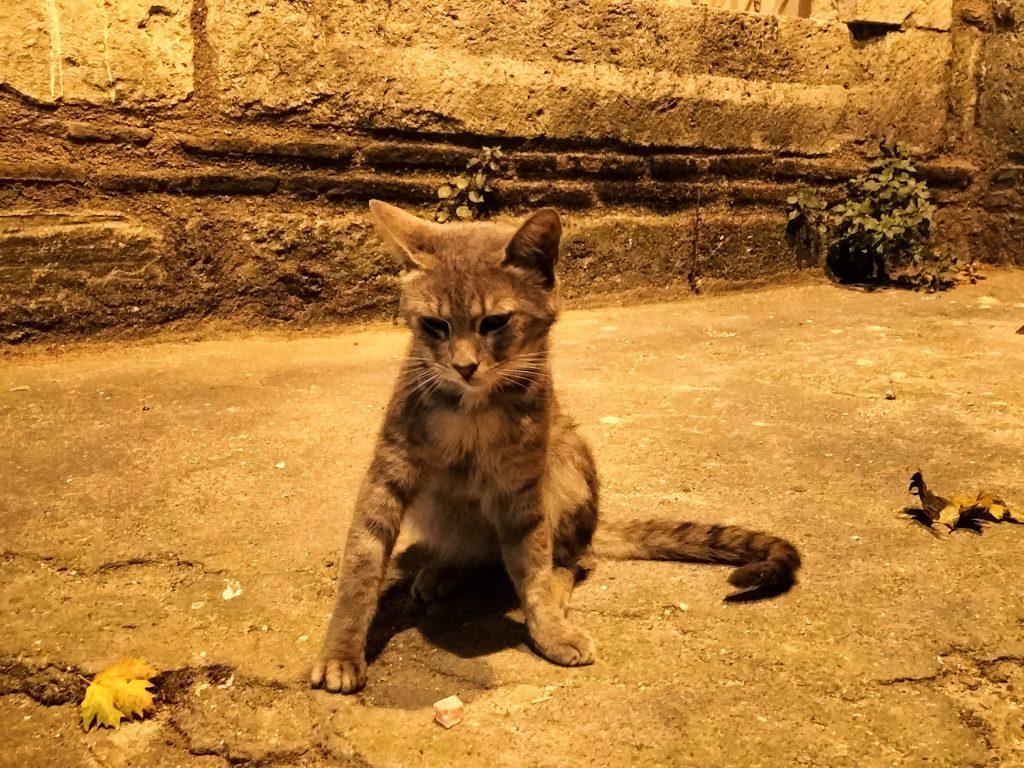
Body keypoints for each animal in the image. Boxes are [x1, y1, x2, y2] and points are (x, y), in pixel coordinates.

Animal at [307, 201, 802, 696]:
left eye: (495, 322)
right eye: (435, 325)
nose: (464, 366)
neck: (471, 407)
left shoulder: (523, 490)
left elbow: (534, 567)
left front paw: (546, 625)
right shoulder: (387, 476)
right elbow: (360, 569)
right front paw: (341, 652)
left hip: (568, 462)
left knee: (571, 560)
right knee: (477, 553)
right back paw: (444, 570)